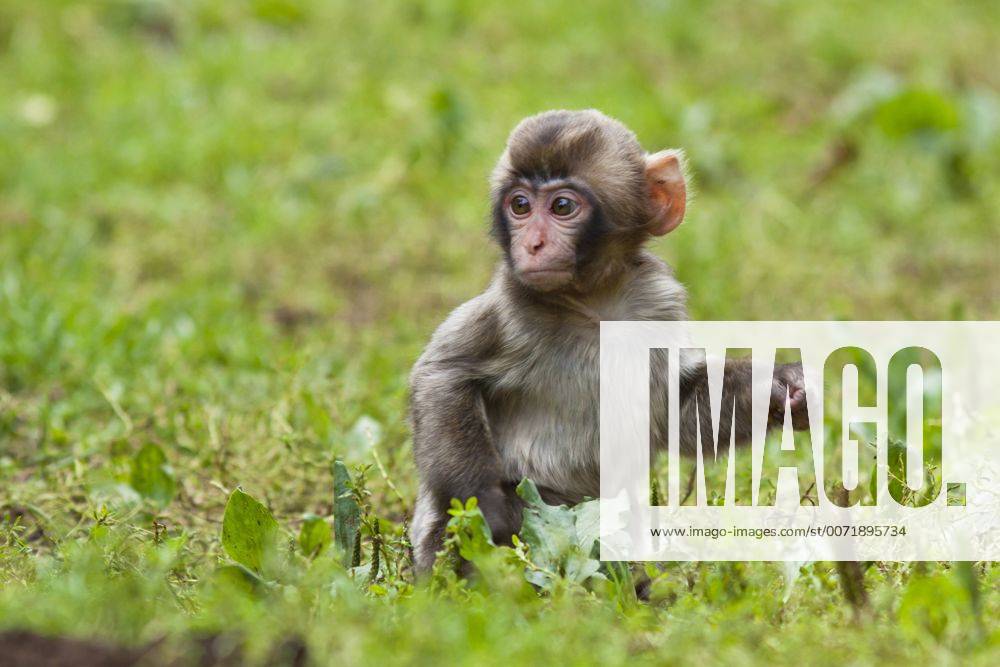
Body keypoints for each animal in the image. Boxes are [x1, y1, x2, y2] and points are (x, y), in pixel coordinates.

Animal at [409, 109, 808, 572]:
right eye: (520, 205)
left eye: (562, 206)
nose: (532, 243)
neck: (592, 301)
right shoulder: (510, 307)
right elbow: (443, 375)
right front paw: (489, 503)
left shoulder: (659, 304)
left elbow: (678, 409)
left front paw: (778, 388)